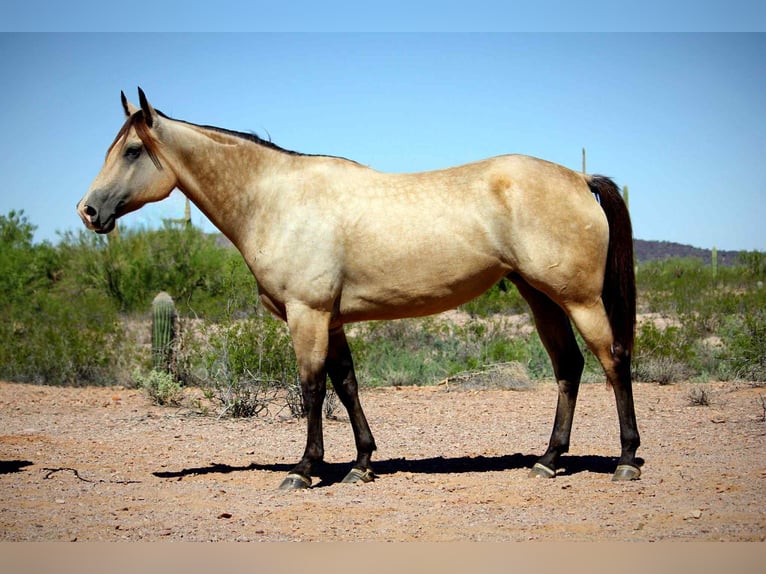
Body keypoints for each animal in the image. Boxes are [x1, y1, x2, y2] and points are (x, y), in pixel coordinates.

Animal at [77, 88, 641, 490]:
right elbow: (346, 385)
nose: (88, 211)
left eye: (132, 150)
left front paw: (304, 469)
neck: (274, 199)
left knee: (613, 361)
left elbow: (311, 388)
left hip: (579, 300)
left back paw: (627, 460)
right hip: (540, 296)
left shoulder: (307, 314)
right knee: (568, 367)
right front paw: (362, 464)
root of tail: (580, 178)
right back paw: (548, 460)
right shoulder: (331, 319)